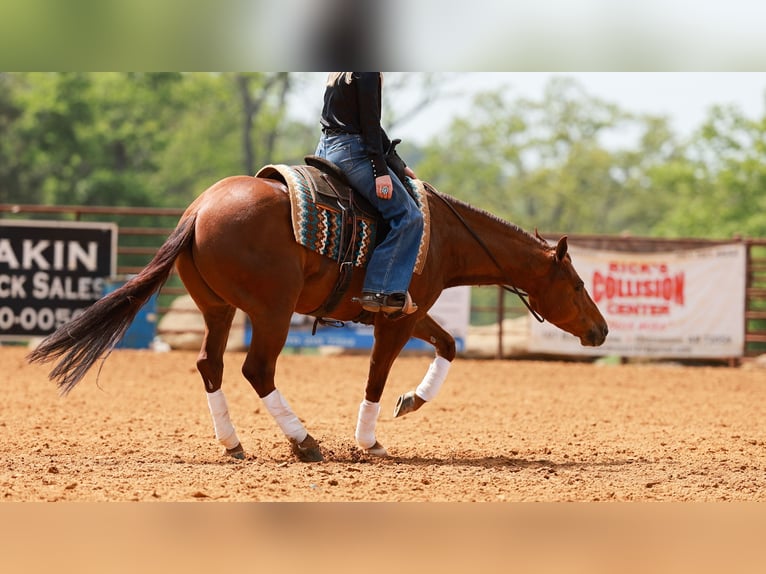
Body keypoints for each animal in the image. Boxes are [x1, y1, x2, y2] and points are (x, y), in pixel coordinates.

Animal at [27, 172, 608, 462]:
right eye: (579, 283)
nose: (601, 329)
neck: (441, 233)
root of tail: (199, 210)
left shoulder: (408, 311)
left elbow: (447, 345)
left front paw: (412, 401)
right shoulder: (395, 319)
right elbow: (376, 376)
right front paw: (369, 440)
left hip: (218, 309)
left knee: (211, 365)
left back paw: (233, 444)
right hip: (272, 311)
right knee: (256, 370)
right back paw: (304, 442)